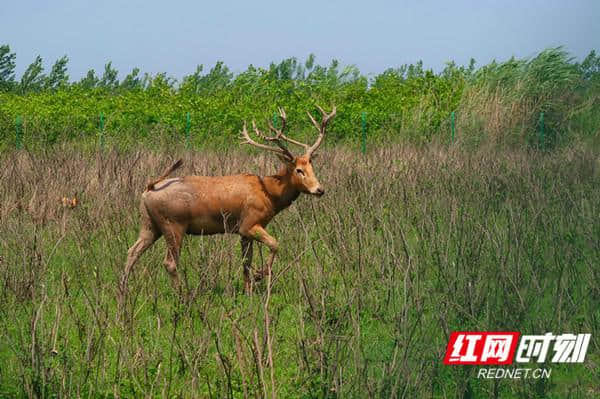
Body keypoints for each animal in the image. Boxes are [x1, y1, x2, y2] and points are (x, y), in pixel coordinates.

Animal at [120, 104, 338, 296]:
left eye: (311, 167)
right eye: (299, 170)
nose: (320, 189)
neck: (270, 195)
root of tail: (148, 190)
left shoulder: (243, 232)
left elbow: (246, 262)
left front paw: (249, 292)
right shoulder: (249, 223)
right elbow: (275, 244)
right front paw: (260, 275)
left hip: (150, 224)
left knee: (132, 251)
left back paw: (123, 292)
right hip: (173, 224)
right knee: (169, 262)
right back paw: (181, 296)